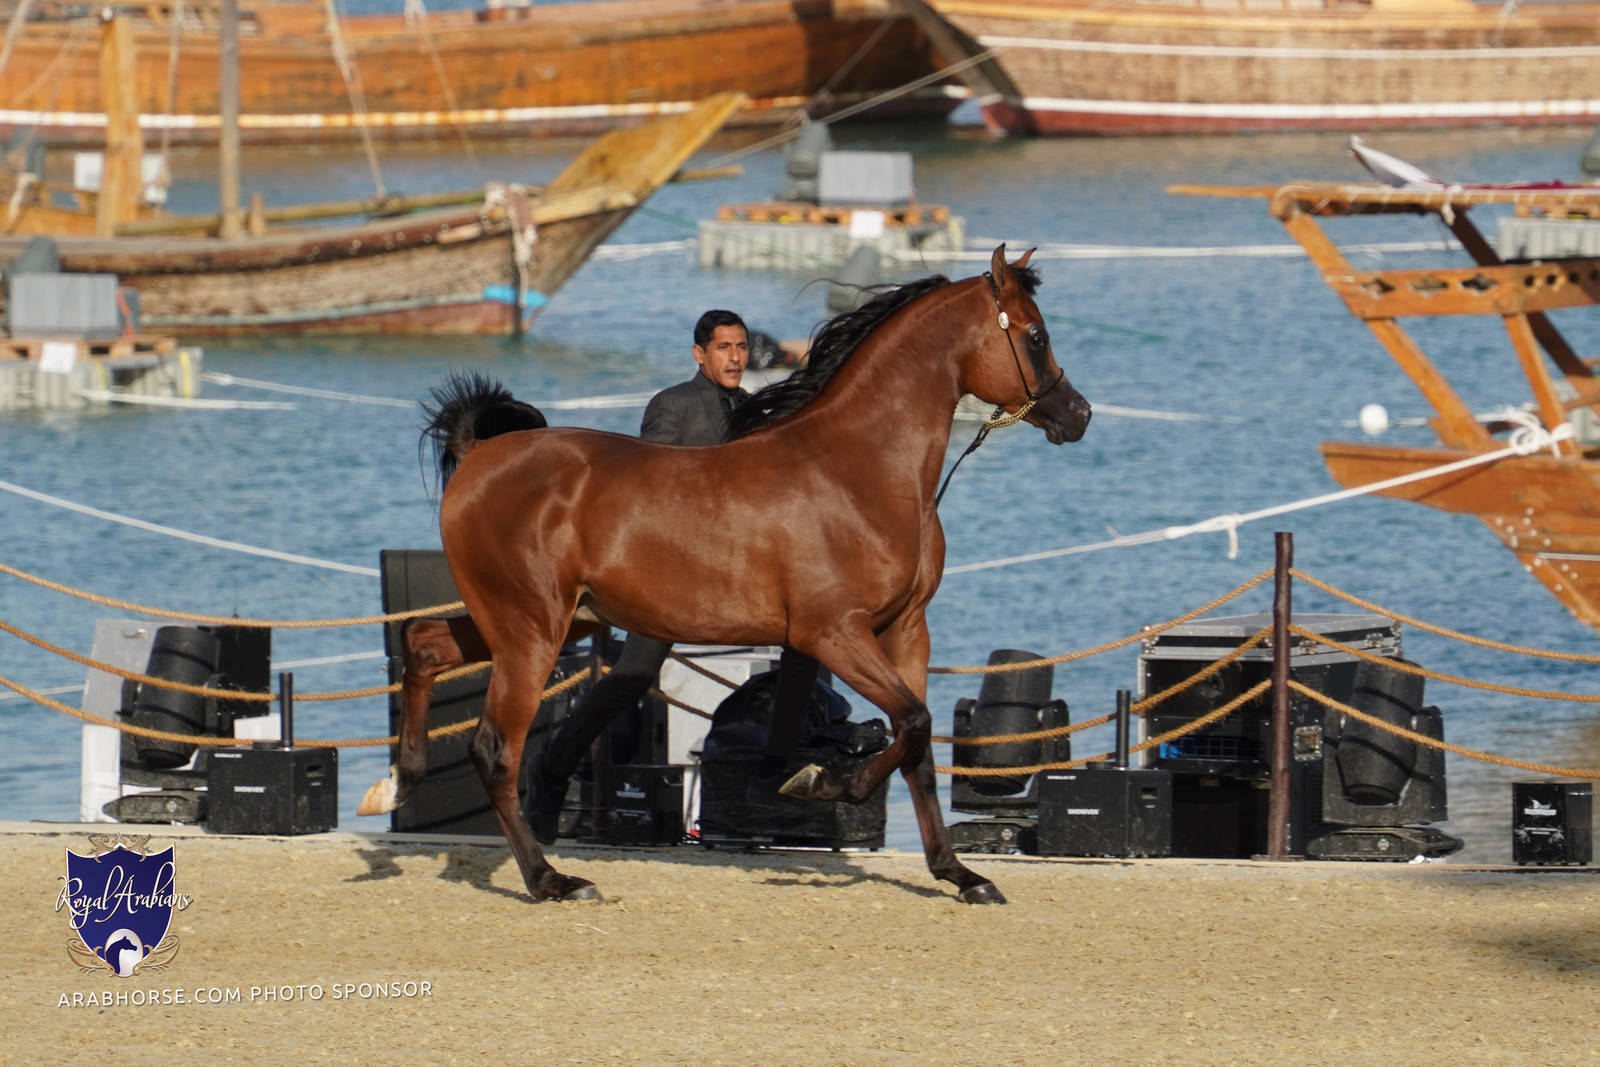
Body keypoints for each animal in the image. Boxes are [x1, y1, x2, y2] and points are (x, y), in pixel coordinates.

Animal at [359, 245, 1092, 904]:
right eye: (1036, 334)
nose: (1078, 414)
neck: (858, 469)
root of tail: (482, 455)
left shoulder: (906, 630)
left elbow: (918, 743)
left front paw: (960, 875)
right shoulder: (835, 632)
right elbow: (910, 721)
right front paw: (822, 783)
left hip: (540, 622)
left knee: (422, 643)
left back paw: (397, 781)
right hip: (530, 629)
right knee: (495, 748)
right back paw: (552, 879)